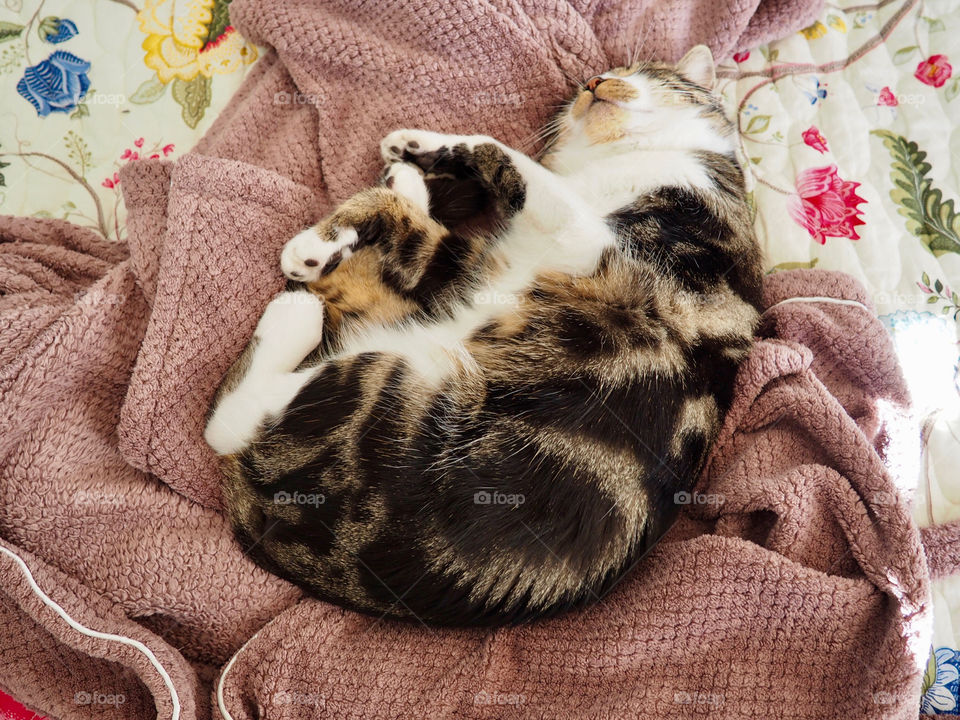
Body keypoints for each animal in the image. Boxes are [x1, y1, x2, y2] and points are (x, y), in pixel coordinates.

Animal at [202, 47, 764, 628]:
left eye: (646, 74)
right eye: (589, 84)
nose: (595, 80)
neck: (618, 162)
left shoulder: (594, 245)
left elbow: (500, 155)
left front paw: (319, 241)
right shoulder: (481, 266)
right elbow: (420, 227)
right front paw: (412, 151)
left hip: (392, 393)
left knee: (230, 424)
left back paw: (292, 316)